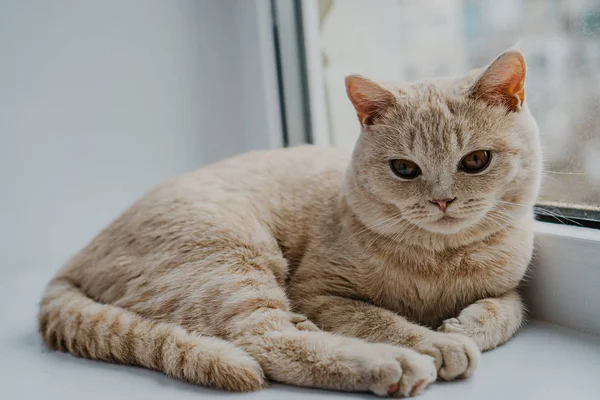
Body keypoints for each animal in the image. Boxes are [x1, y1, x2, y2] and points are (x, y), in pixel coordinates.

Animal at [39, 49, 540, 396]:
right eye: (404, 169)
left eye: (475, 161)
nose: (442, 200)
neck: (440, 260)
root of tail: (77, 257)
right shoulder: (320, 291)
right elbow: (380, 318)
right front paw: (437, 343)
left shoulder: (509, 283)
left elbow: (508, 309)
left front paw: (466, 326)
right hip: (231, 261)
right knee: (266, 339)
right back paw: (390, 364)